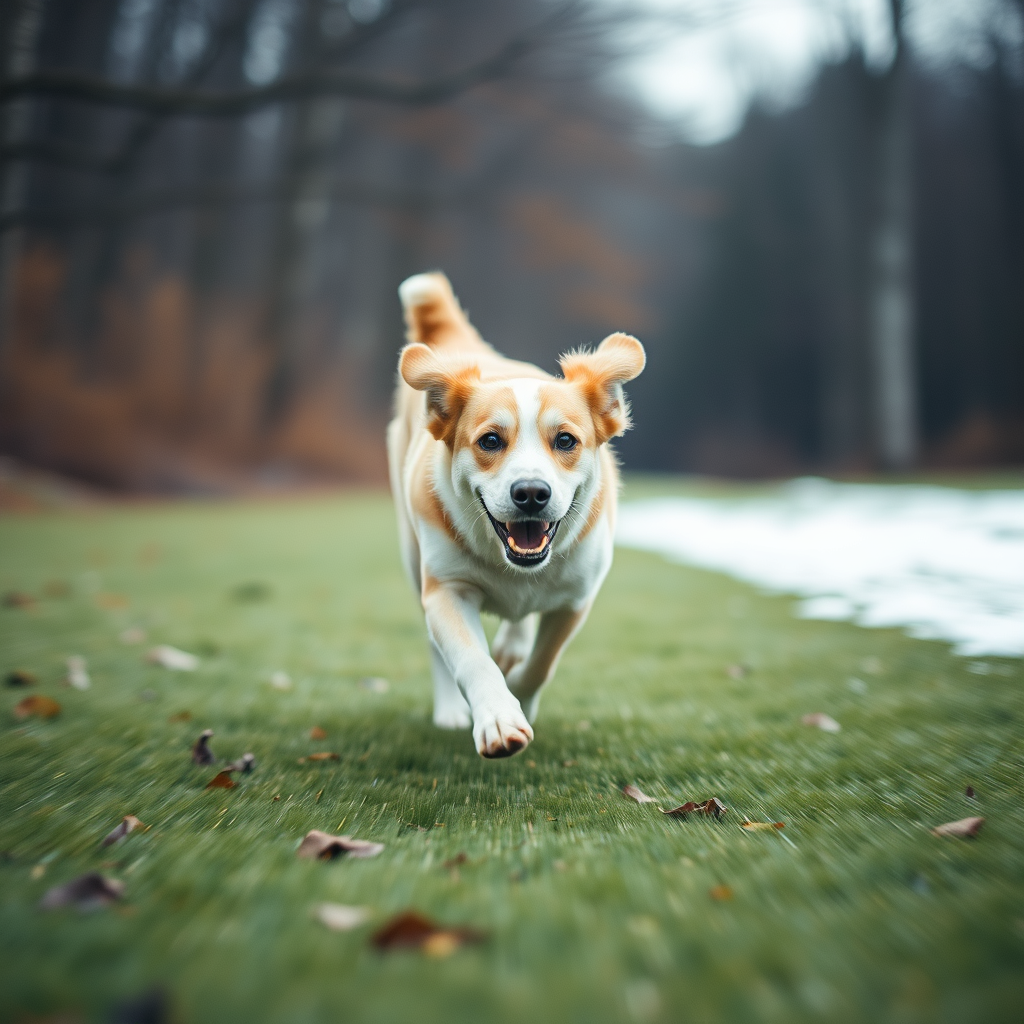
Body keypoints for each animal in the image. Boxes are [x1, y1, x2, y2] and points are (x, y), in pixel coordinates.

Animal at [387, 272, 643, 761]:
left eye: (565, 440)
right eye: (490, 441)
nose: (531, 493)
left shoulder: (576, 598)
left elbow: (542, 664)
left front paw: (521, 691)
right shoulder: (447, 588)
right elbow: (470, 658)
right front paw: (499, 718)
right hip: (411, 554)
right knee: (433, 643)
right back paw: (450, 710)